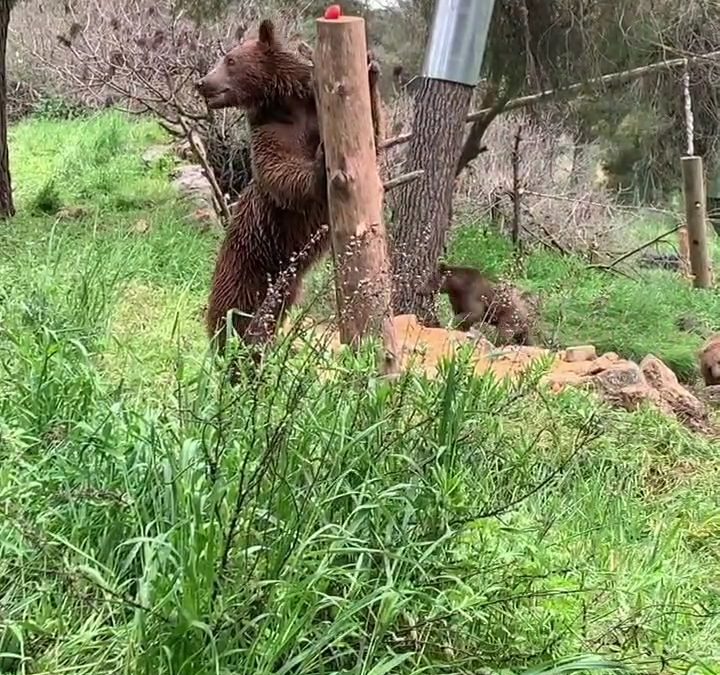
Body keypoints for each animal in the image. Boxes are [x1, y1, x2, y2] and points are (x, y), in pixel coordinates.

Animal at [194, 19, 386, 360]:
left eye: (230, 60)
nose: (202, 82)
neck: (286, 101)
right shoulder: (270, 129)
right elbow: (279, 170)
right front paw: (320, 162)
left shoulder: (311, 112)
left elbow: (373, 138)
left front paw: (371, 69)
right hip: (244, 267)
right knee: (230, 315)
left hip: (286, 285)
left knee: (263, 319)